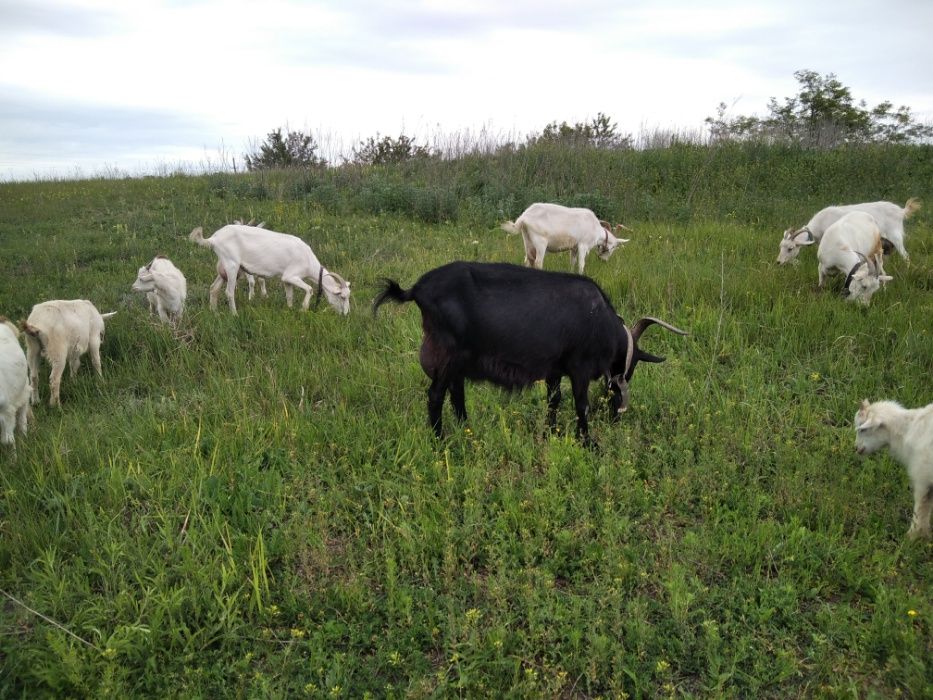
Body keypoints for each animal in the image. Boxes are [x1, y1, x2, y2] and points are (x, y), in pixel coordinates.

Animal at [189, 224, 351, 315]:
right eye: (342, 297)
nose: (346, 314)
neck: (309, 261)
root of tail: (213, 239)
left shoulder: (286, 280)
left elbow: (289, 296)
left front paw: (290, 310)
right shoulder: (291, 275)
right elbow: (309, 289)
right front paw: (303, 309)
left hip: (224, 268)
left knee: (213, 288)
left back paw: (214, 312)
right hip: (232, 265)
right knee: (229, 292)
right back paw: (234, 314)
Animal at [373, 261, 686, 442]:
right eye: (629, 369)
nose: (615, 415)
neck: (602, 322)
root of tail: (416, 290)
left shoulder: (555, 367)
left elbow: (554, 400)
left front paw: (551, 433)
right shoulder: (579, 367)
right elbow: (581, 404)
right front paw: (587, 442)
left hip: (458, 360)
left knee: (456, 393)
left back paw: (467, 430)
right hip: (448, 353)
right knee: (436, 396)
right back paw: (440, 441)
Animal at [501, 203, 630, 274]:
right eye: (613, 247)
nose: (604, 261)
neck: (595, 229)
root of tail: (524, 218)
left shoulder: (574, 247)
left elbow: (572, 262)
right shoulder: (583, 245)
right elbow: (581, 264)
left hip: (528, 241)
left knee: (528, 260)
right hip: (540, 241)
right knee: (538, 262)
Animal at [778, 198, 920, 264]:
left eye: (790, 248)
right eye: (780, 246)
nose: (779, 262)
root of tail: (901, 211)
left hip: (895, 236)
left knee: (905, 255)